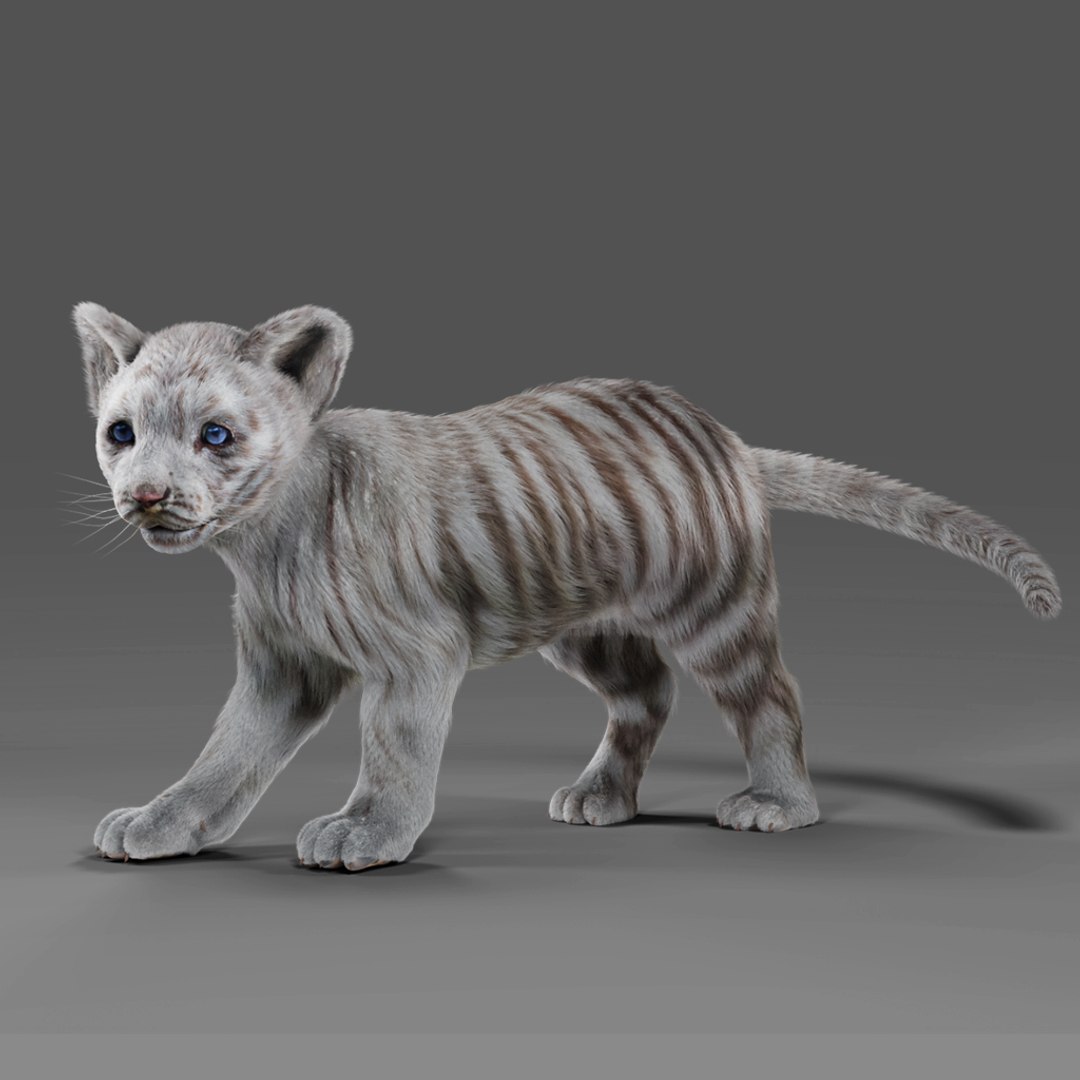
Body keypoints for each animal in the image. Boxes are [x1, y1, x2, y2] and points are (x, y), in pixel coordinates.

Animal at [74, 301, 1062, 871]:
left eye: (214, 436)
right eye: (122, 433)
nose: (147, 496)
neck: (265, 542)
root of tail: (729, 438)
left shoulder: (415, 657)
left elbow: (393, 752)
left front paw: (366, 833)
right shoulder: (281, 669)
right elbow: (225, 755)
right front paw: (163, 823)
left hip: (715, 610)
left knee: (771, 695)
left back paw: (778, 808)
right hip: (581, 624)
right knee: (647, 694)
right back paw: (601, 800)